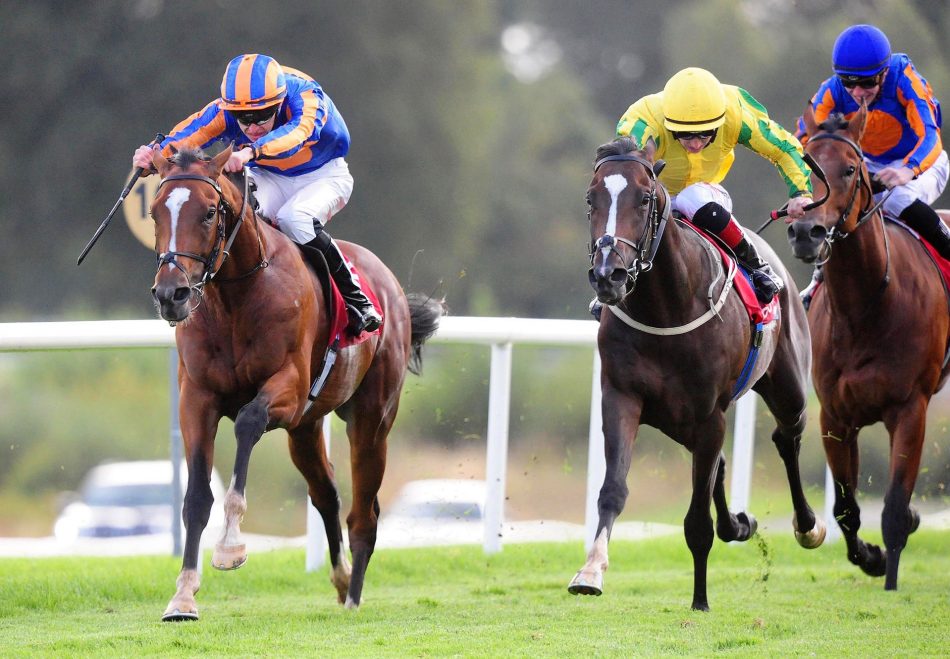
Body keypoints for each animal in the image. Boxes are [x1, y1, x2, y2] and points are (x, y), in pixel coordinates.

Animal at [147, 145, 444, 620]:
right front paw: (183, 596)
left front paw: (230, 546)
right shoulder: (197, 398)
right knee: (327, 494)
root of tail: (392, 288)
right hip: (305, 429)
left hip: (371, 419)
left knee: (364, 514)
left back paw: (353, 597)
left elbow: (248, 421)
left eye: (210, 212)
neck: (235, 297)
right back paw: (340, 579)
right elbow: (195, 498)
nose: (171, 294)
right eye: (155, 211)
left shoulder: (287, 389)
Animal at [569, 136, 825, 611]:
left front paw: (700, 600)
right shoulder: (622, 397)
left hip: (788, 389)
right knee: (722, 467)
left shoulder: (710, 416)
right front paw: (590, 571)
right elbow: (614, 488)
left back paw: (807, 525)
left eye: (644, 198)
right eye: (591, 199)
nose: (609, 274)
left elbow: (696, 522)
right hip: (681, 421)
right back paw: (739, 523)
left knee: (787, 437)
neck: (667, 306)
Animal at [787, 105, 949, 590]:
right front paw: (871, 557)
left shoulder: (910, 409)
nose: (806, 231)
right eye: (806, 166)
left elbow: (894, 508)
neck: (866, 307)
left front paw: (890, 578)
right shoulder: (836, 415)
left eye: (849, 169)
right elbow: (845, 507)